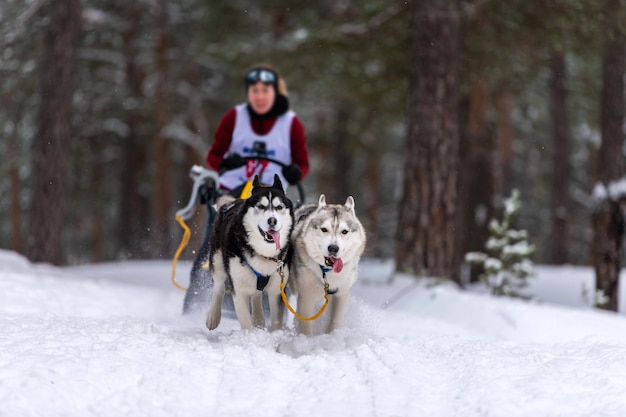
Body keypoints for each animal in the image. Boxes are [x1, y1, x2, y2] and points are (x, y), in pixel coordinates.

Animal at [205, 174, 292, 330]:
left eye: (279, 207)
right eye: (261, 206)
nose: (272, 220)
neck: (263, 253)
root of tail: (232, 202)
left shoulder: (277, 290)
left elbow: (276, 321)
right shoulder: (239, 290)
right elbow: (246, 323)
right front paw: (251, 335)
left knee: (256, 295)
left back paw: (258, 320)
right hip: (218, 261)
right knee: (219, 286)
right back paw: (213, 316)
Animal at [288, 195, 364, 334]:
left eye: (344, 231)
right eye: (324, 229)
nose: (333, 248)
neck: (328, 273)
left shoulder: (341, 295)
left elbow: (335, 321)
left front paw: (332, 336)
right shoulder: (306, 298)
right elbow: (306, 327)